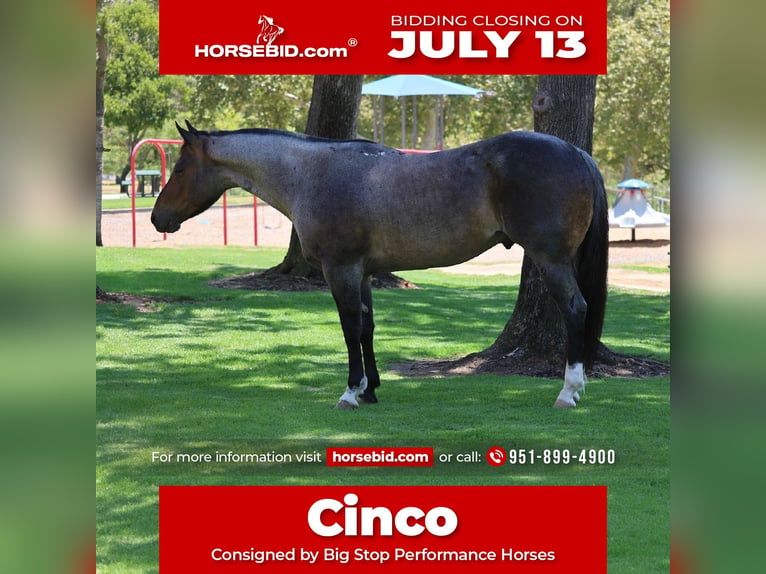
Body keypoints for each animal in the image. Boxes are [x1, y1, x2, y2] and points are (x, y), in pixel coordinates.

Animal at [152, 121, 608, 409]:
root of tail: (576, 152)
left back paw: (568, 392)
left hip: (551, 260)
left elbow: (350, 329)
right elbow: (368, 328)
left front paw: (351, 392)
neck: (312, 173)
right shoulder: (364, 272)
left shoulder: (340, 270)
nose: (158, 218)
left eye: (180, 167)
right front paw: (371, 390)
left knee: (575, 310)